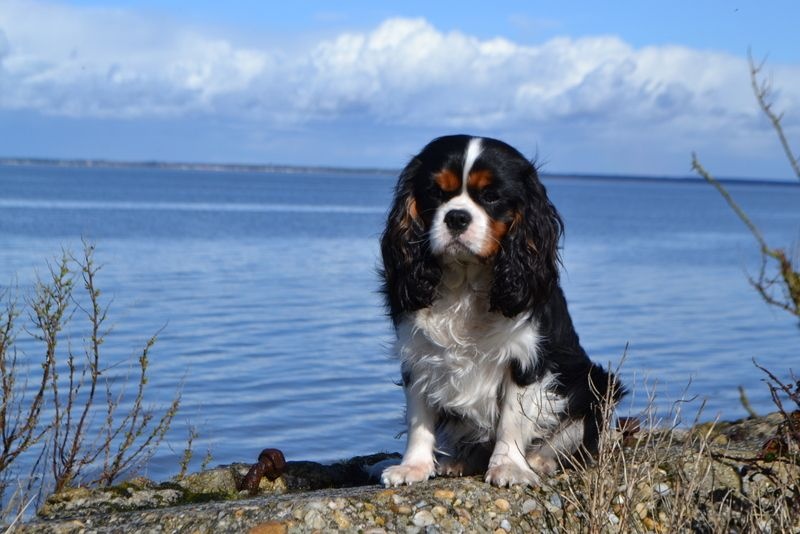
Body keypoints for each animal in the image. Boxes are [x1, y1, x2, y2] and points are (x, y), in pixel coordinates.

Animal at [379, 134, 624, 487]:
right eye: (436, 192)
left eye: (491, 197)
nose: (456, 217)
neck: (466, 281)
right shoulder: (417, 354)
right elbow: (419, 417)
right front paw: (413, 466)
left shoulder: (525, 357)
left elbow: (512, 418)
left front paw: (509, 466)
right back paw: (461, 460)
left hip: (599, 384)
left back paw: (540, 460)